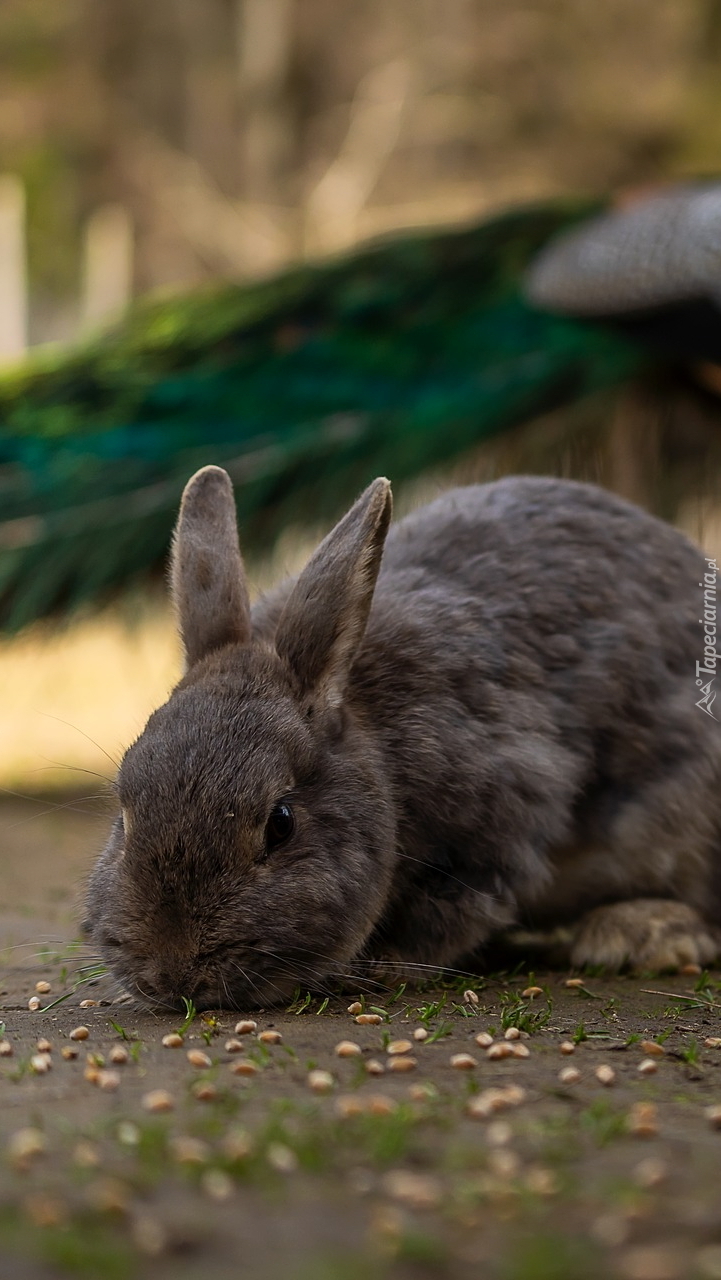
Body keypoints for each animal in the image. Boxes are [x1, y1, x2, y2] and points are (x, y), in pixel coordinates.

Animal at [84, 465, 721, 1003]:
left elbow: (459, 908)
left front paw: (380, 966)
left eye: (281, 824)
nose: (172, 975)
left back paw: (636, 933)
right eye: (125, 817)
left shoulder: (499, 823)